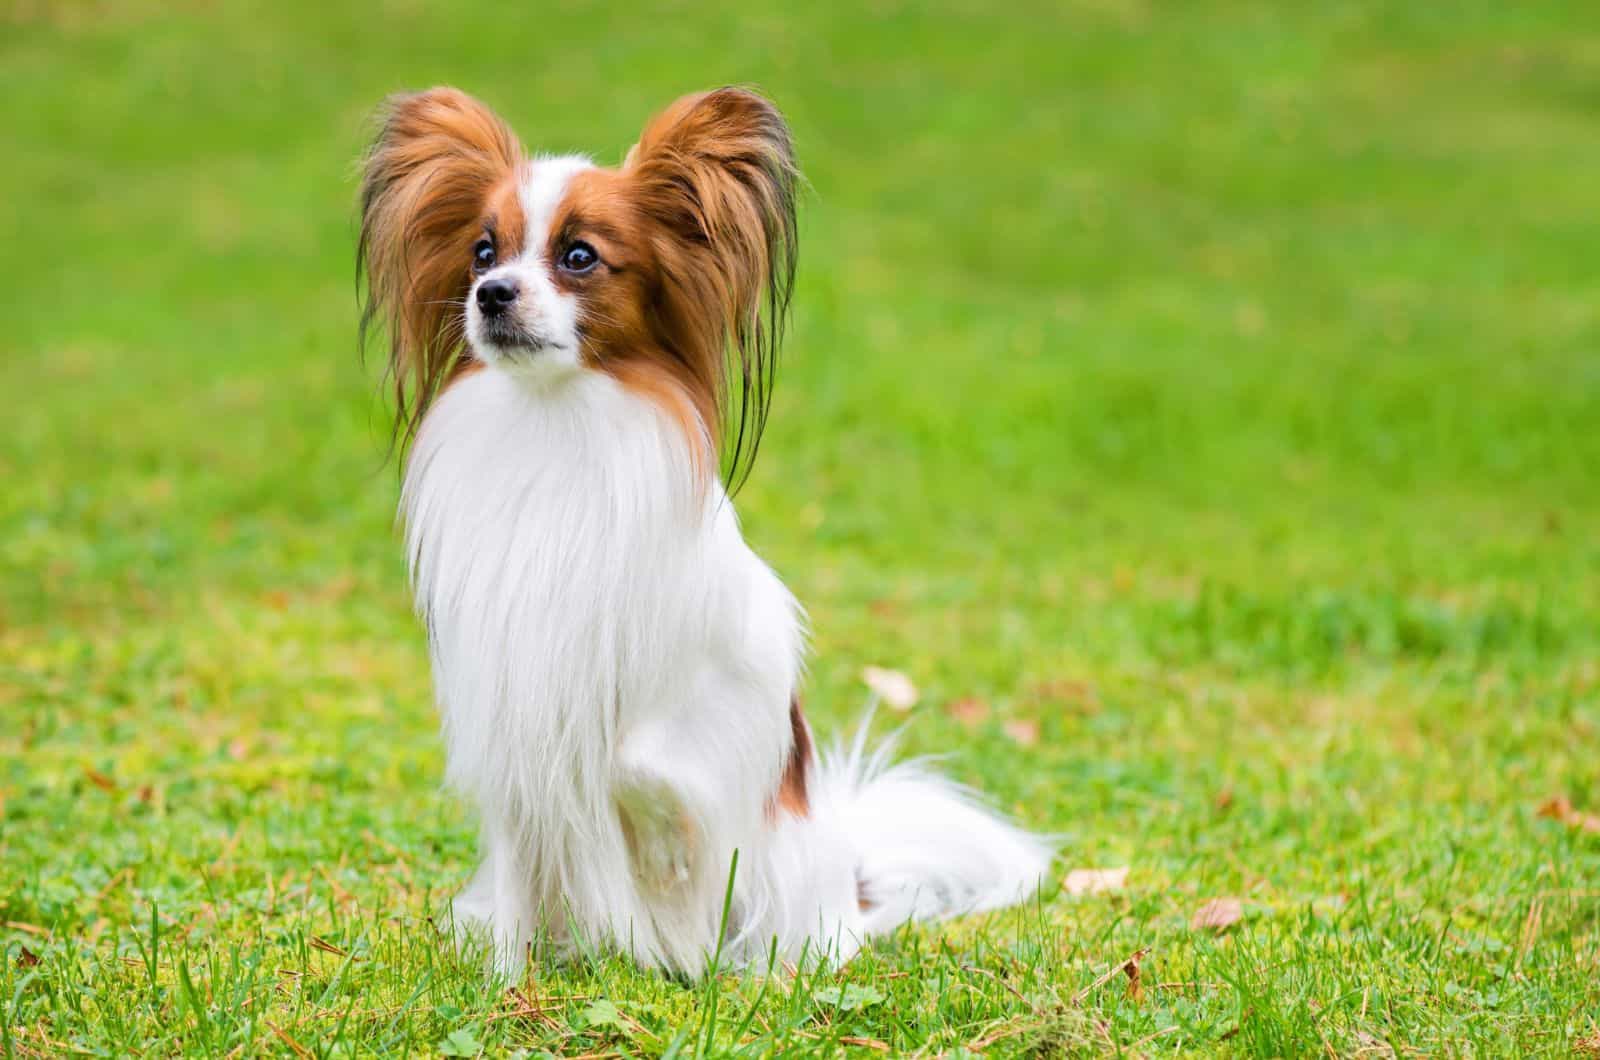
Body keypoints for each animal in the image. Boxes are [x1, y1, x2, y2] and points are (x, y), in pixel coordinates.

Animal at [355, 87, 1049, 973]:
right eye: (482, 253)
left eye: (578, 256)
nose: (492, 294)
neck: (556, 427)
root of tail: (850, 883)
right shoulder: (508, 708)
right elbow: (523, 848)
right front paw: (504, 978)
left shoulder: (731, 670)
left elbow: (639, 760)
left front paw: (660, 853)